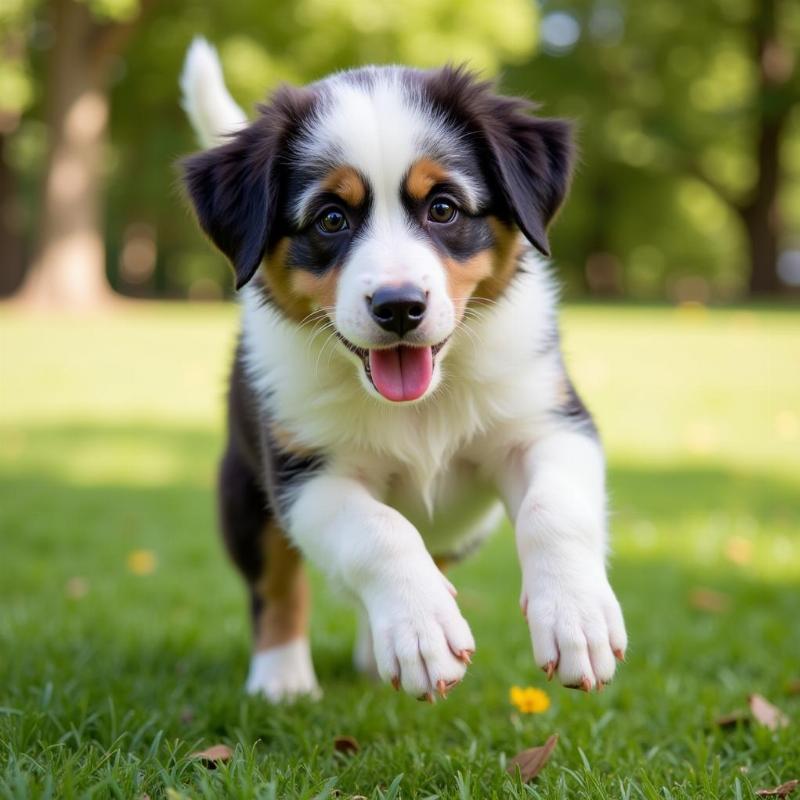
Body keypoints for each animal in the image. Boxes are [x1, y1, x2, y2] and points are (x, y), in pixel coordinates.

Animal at [180, 39, 624, 700]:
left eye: (442, 208)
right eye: (331, 219)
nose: (398, 307)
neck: (421, 405)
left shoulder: (550, 425)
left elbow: (554, 511)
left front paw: (577, 618)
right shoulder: (305, 476)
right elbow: (379, 532)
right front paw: (420, 630)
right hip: (242, 491)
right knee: (275, 585)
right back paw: (284, 678)